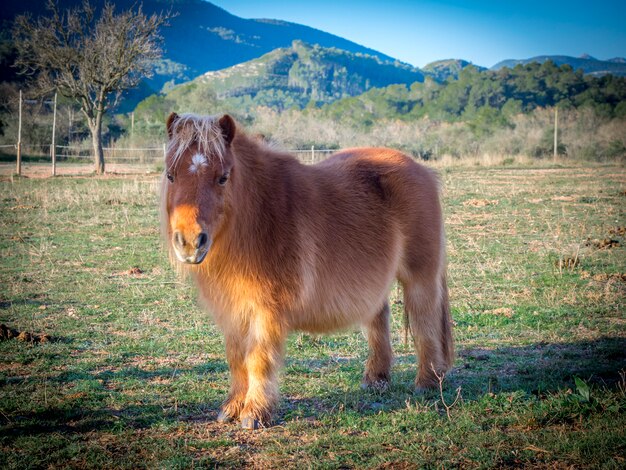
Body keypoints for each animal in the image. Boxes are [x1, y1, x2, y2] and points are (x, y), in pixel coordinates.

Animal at [161, 112, 454, 428]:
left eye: (223, 177)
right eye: (170, 175)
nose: (190, 243)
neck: (259, 217)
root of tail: (421, 169)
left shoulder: (266, 310)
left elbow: (258, 358)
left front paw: (255, 413)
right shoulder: (233, 310)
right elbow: (237, 357)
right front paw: (232, 407)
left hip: (420, 277)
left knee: (425, 320)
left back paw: (427, 382)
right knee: (379, 318)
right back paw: (376, 379)